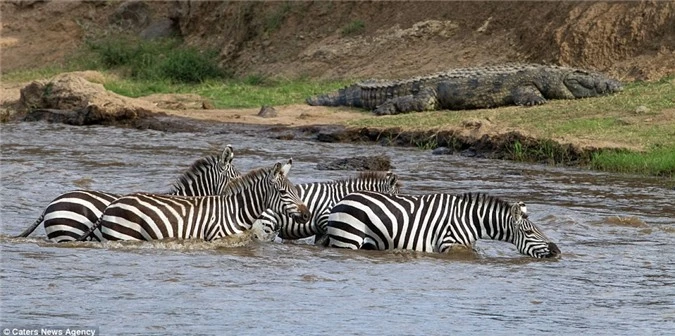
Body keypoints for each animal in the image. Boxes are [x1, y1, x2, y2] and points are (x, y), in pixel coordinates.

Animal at [76, 159, 312, 242]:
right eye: (283, 193)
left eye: (295, 191)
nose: (307, 214)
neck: (235, 211)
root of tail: (111, 205)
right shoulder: (217, 239)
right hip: (122, 235)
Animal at [322, 190, 560, 258]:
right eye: (530, 233)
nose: (557, 251)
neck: (471, 220)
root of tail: (340, 201)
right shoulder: (448, 243)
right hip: (348, 240)